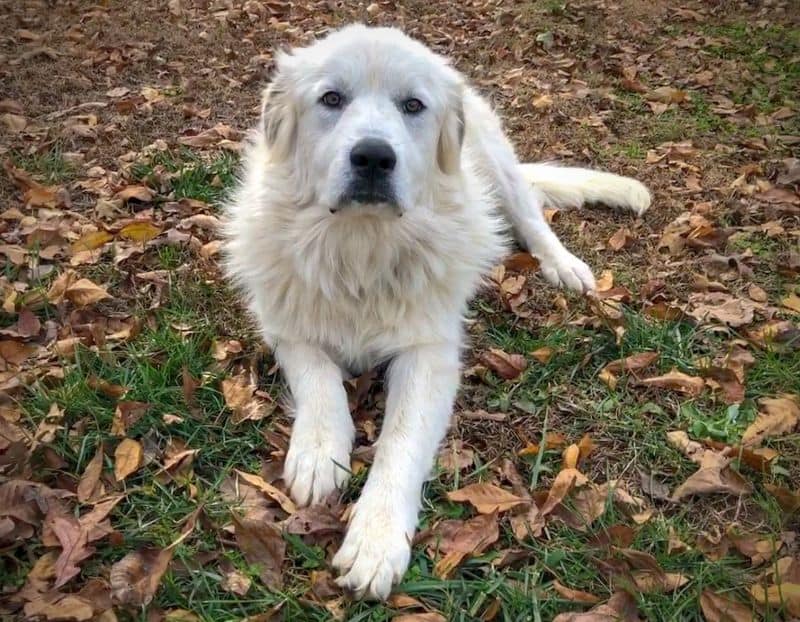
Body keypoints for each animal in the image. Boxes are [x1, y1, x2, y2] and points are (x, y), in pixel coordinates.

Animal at [222, 25, 648, 604]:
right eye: (331, 99)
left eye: (412, 106)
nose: (373, 158)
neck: (361, 247)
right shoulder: (286, 325)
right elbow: (318, 379)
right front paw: (318, 450)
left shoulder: (428, 354)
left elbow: (400, 443)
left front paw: (376, 539)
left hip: (499, 168)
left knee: (533, 220)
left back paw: (564, 266)